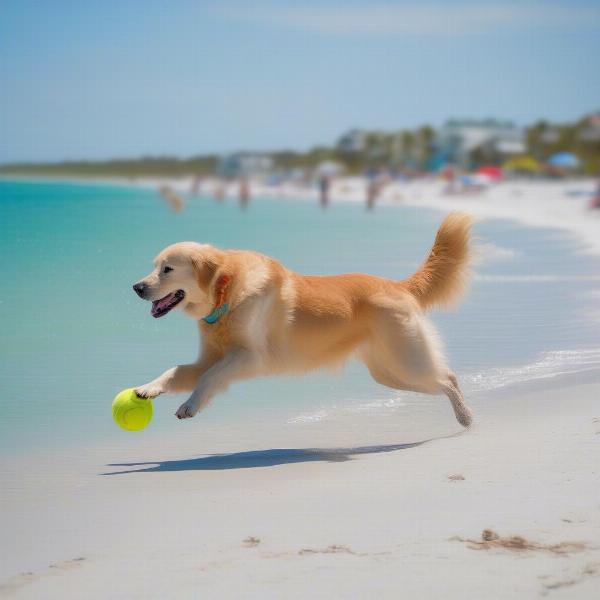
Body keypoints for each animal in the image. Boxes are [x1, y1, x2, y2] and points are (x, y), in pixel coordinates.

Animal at [132, 213, 474, 424]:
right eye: (154, 266)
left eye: (168, 269)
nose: (136, 287)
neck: (226, 293)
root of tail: (397, 285)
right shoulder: (210, 358)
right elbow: (177, 370)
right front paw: (148, 388)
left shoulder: (249, 357)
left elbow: (209, 377)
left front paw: (189, 405)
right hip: (390, 373)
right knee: (443, 380)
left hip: (406, 360)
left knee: (447, 377)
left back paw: (466, 417)